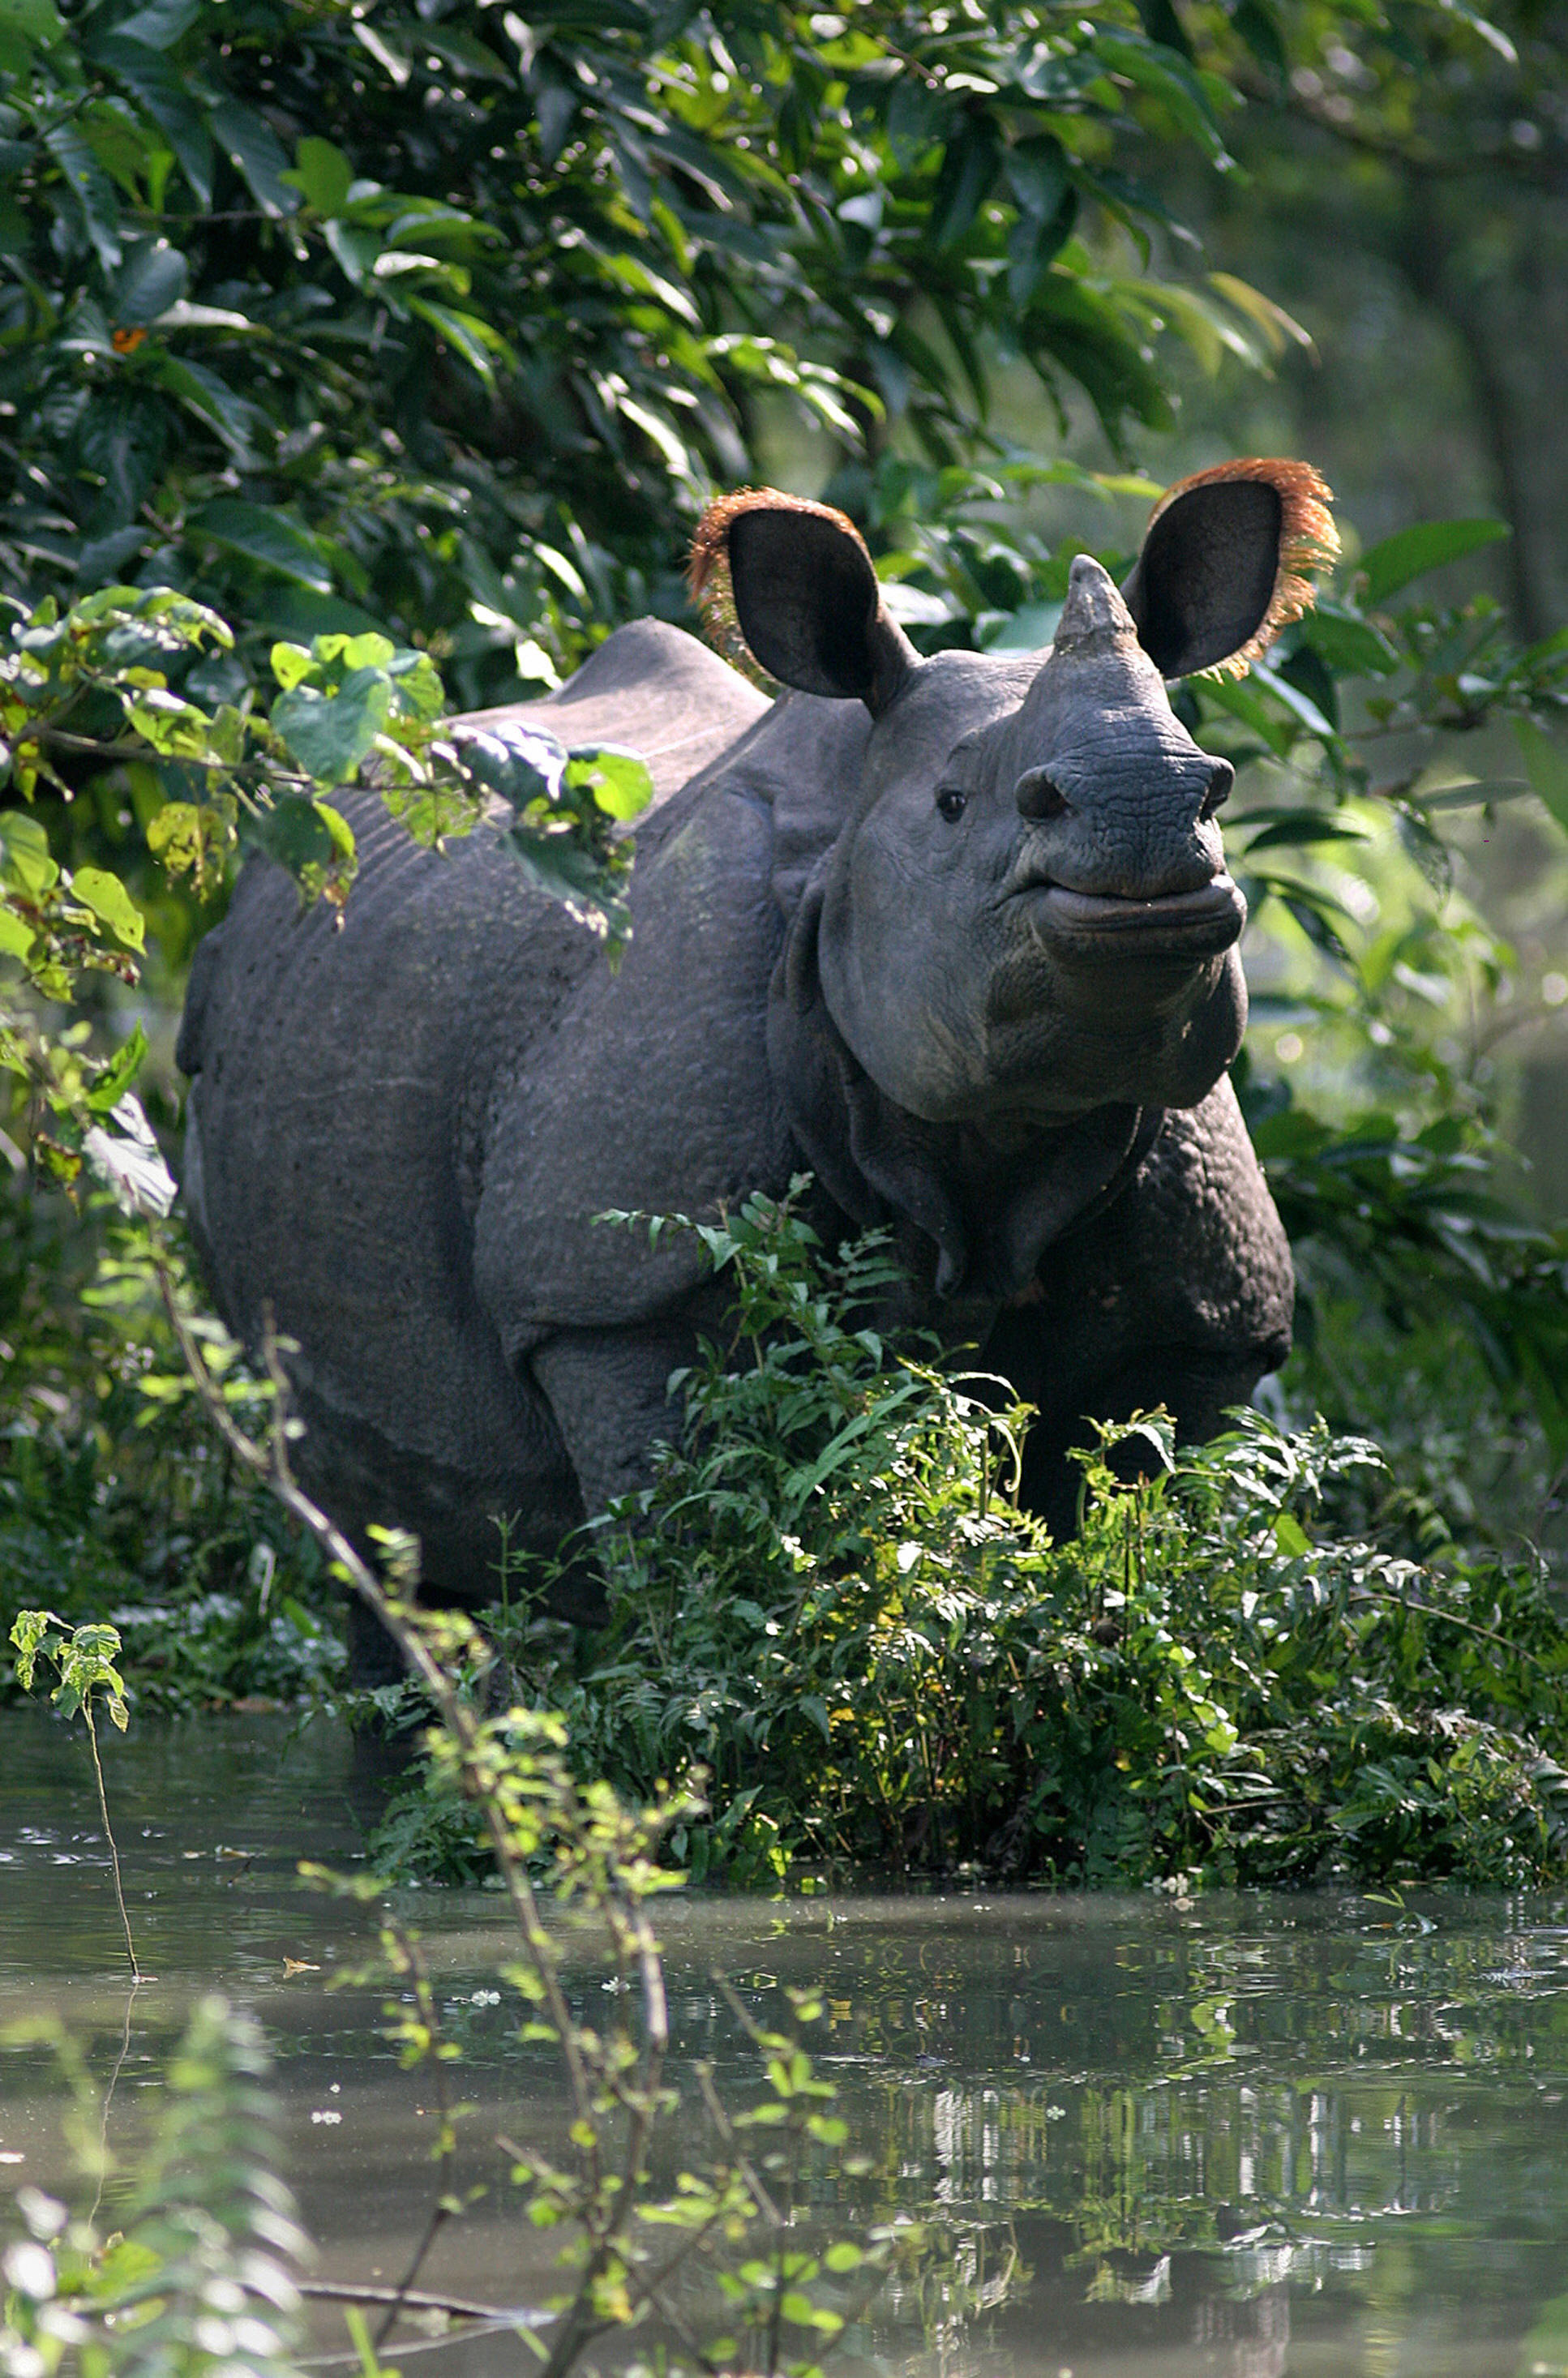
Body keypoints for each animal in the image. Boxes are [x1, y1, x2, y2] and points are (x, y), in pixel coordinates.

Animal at [177, 457, 1336, 1671]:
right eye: (954, 805)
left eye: (1212, 790)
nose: (1149, 816)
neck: (1003, 1139)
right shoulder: (613, 1293)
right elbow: (691, 1566)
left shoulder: (1197, 1318)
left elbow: (1108, 1535)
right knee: (373, 1535)